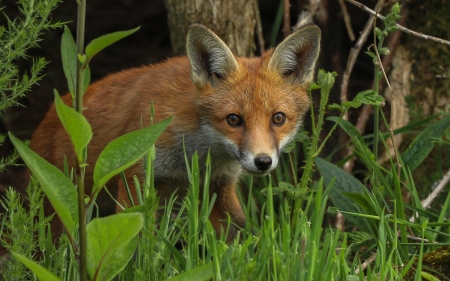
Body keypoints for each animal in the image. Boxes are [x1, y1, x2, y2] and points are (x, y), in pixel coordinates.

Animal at [27, 23, 320, 240]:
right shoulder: (135, 178)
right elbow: (133, 242)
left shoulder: (219, 185)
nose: (263, 162)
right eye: (234, 120)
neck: (198, 153)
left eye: (278, 118)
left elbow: (243, 237)